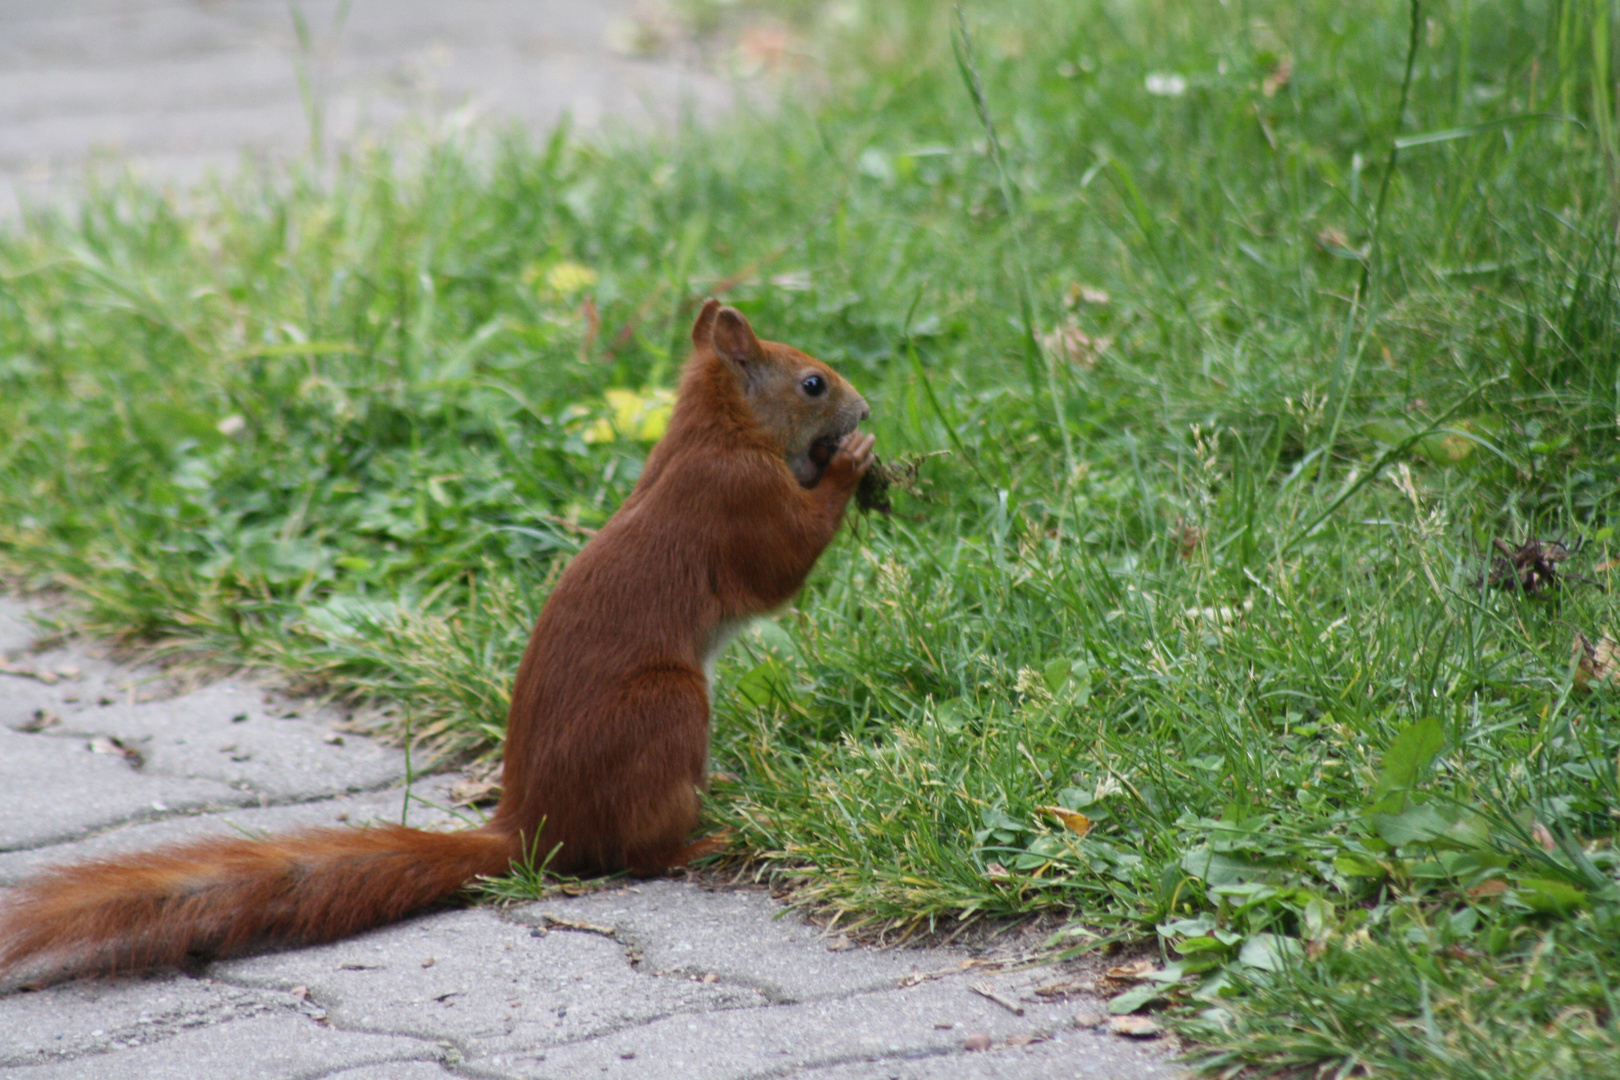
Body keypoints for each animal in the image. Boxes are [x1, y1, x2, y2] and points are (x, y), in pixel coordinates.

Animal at [3, 299, 874, 977]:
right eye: (813, 382)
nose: (865, 413)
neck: (713, 434)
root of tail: (535, 826)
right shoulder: (737, 498)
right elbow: (780, 566)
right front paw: (852, 465)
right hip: (665, 705)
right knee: (639, 854)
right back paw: (704, 839)